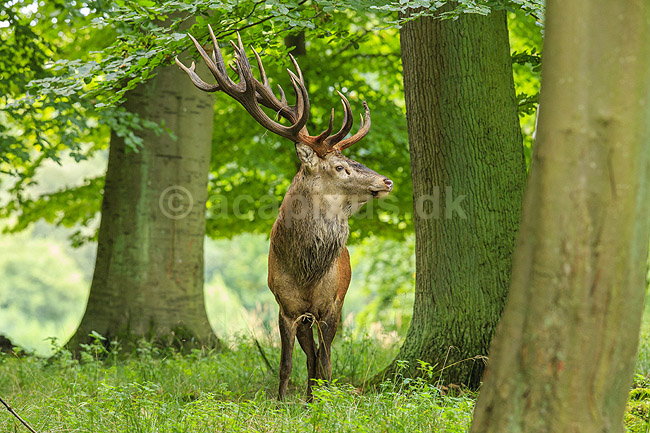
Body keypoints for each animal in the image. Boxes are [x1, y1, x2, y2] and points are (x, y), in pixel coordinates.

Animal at [175, 26, 393, 402]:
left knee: (320, 357)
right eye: (341, 167)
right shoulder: (285, 308)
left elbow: (327, 363)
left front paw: (321, 402)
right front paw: (282, 403)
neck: (306, 271)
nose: (387, 180)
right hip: (302, 318)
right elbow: (286, 365)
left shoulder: (331, 306)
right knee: (310, 357)